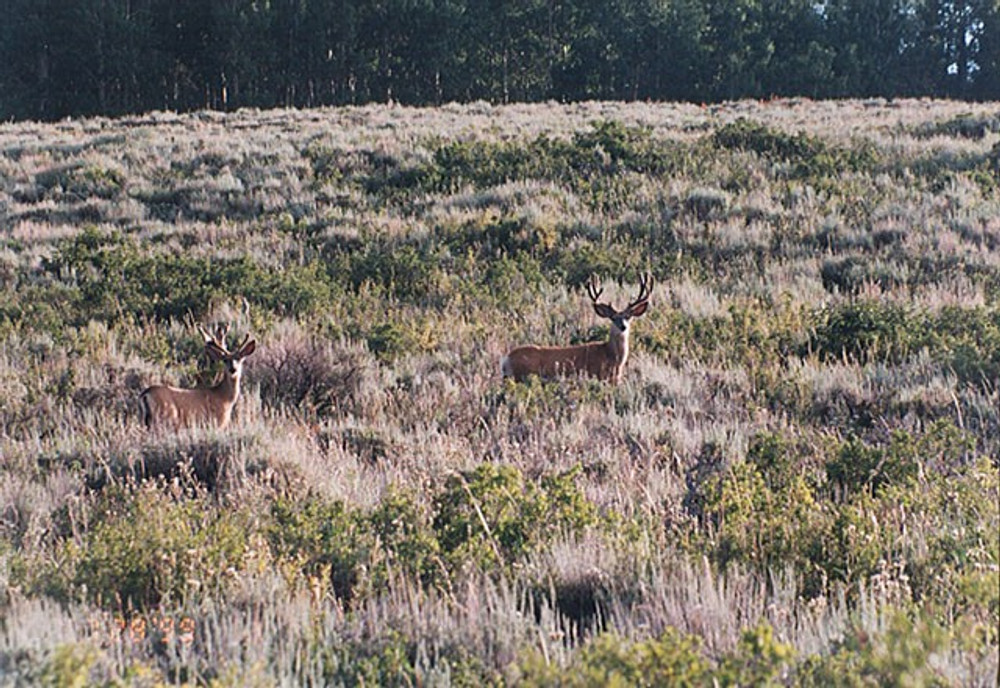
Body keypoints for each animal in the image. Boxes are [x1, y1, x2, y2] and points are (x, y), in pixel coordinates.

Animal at [500, 272, 656, 382]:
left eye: (629, 316)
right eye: (613, 318)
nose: (623, 326)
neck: (612, 358)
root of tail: (506, 359)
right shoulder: (599, 375)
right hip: (522, 376)